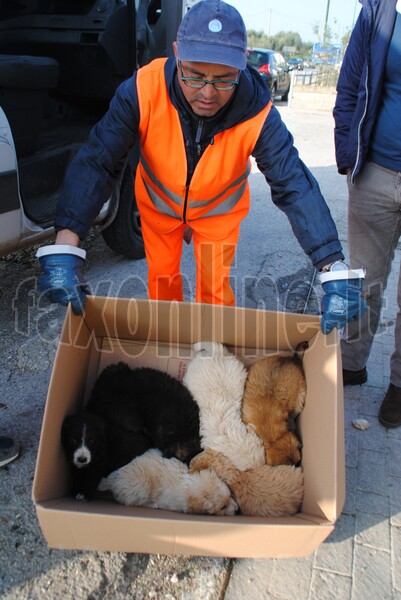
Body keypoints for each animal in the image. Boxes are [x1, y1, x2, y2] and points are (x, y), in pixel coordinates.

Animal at [97, 450, 238, 516]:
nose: (237, 510)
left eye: (230, 495)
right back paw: (153, 505)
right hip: (139, 489)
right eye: (222, 507)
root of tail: (113, 480)